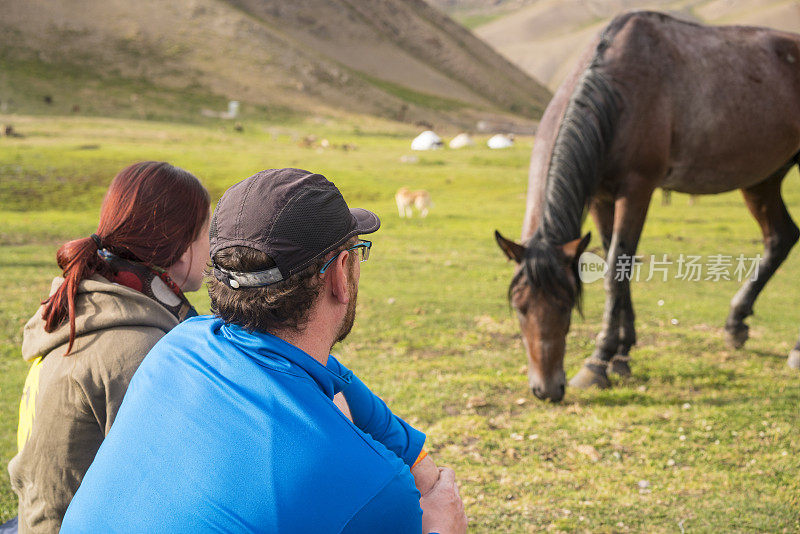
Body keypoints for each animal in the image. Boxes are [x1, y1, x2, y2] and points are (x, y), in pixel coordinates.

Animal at [494, 9, 800, 402]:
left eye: (567, 304)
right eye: (520, 308)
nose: (546, 389)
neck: (617, 93)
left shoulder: (637, 188)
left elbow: (616, 266)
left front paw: (598, 361)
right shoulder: (600, 195)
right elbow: (615, 262)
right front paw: (623, 353)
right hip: (764, 177)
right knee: (780, 237)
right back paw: (736, 323)